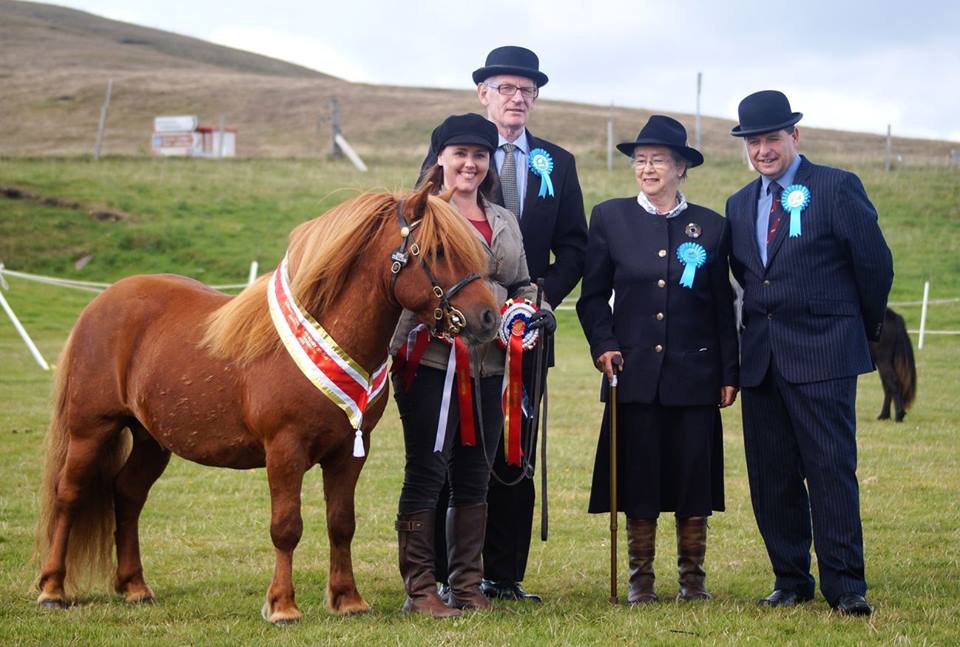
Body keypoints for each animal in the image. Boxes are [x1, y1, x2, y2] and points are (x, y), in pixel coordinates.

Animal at [33, 182, 498, 624]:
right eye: (436, 251)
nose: (489, 317)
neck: (328, 334)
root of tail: (100, 303)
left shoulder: (349, 453)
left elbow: (341, 524)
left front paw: (348, 600)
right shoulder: (284, 450)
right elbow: (286, 527)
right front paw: (283, 606)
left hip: (151, 440)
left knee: (127, 494)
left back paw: (134, 587)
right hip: (91, 430)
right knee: (69, 495)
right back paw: (52, 589)